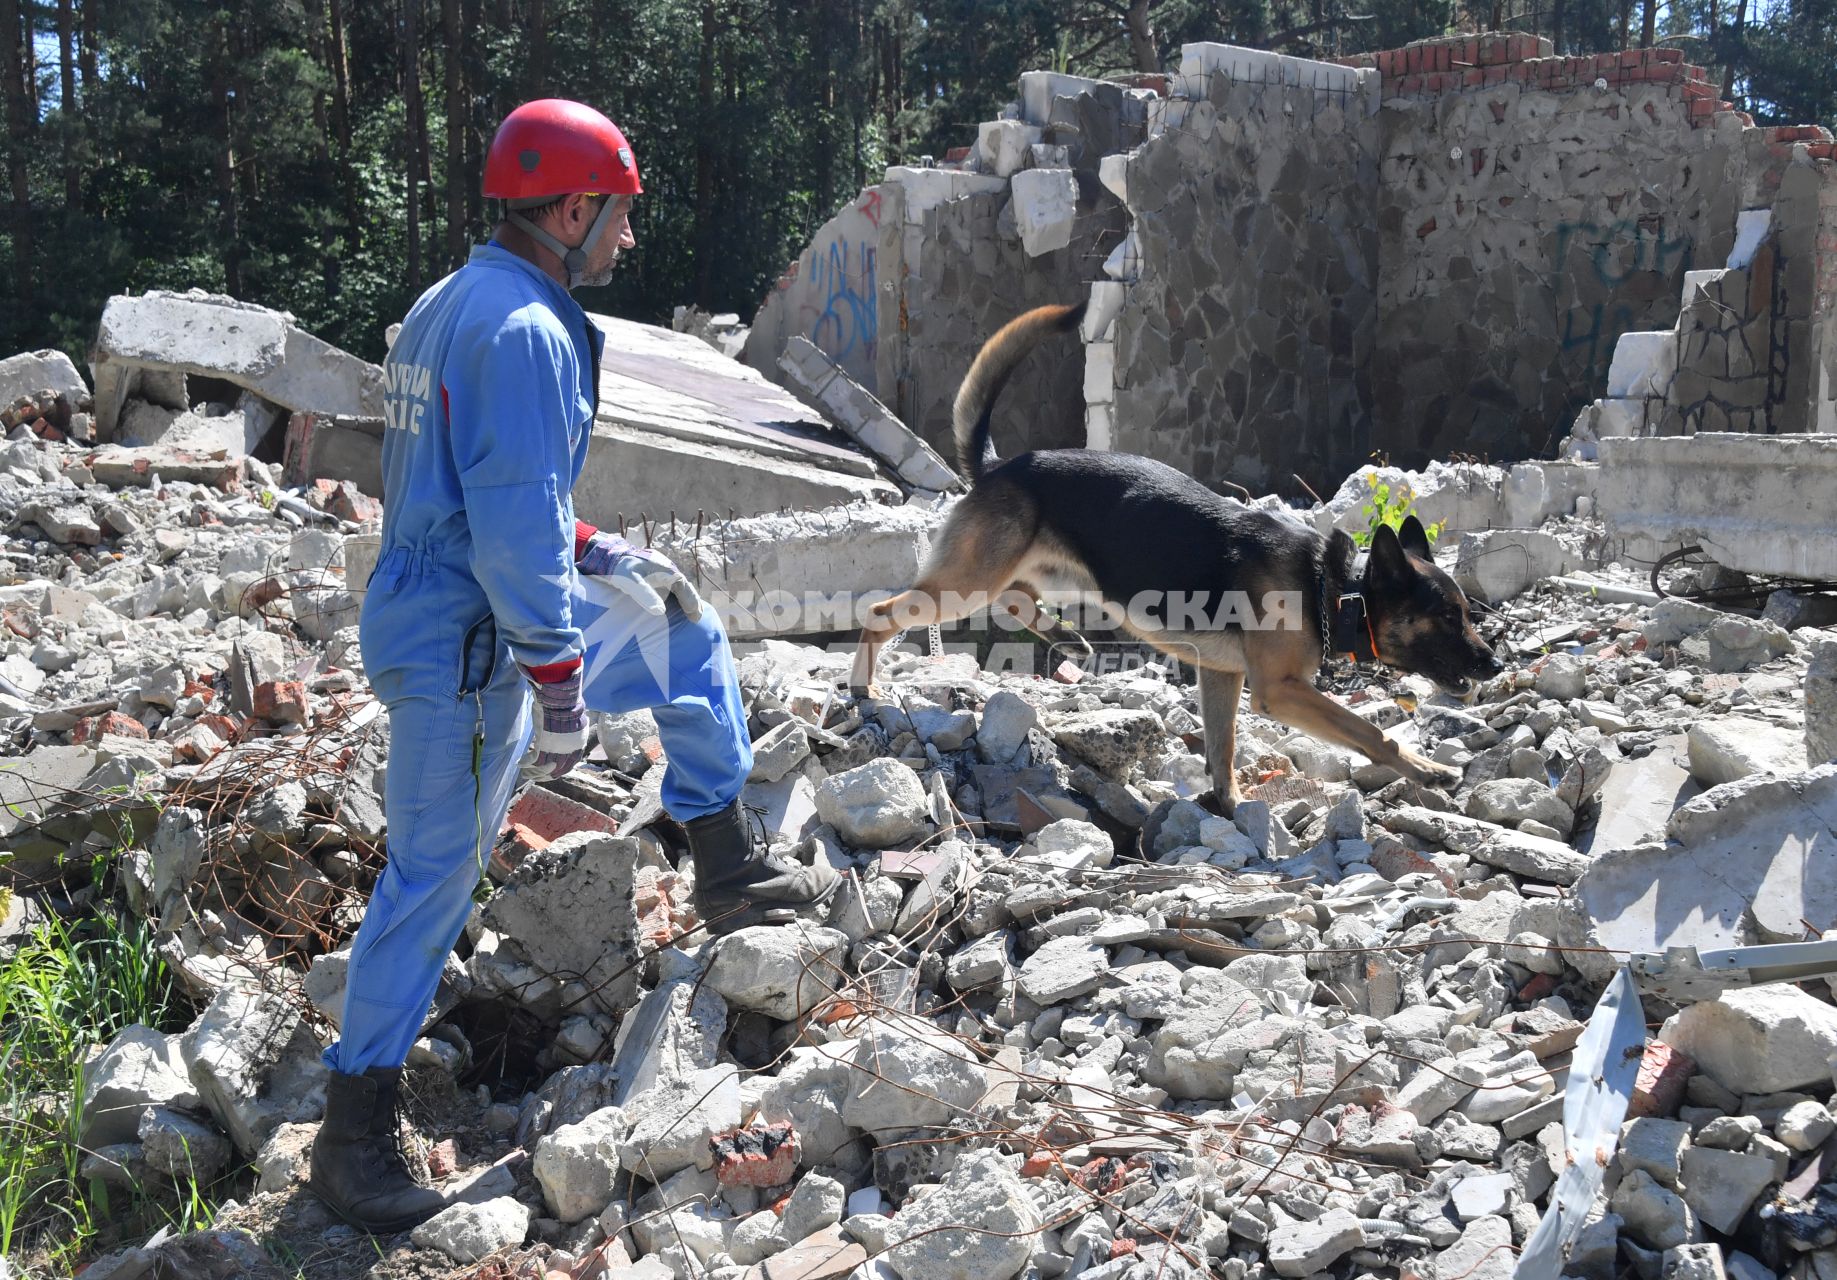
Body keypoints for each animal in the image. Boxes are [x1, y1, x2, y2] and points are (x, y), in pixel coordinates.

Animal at [852, 301, 1498, 808]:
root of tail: (997, 467)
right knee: (883, 613)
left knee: (1017, 598)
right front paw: (1428, 769)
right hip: (970, 580)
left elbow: (1222, 746)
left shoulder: (1222, 676)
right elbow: (1371, 733)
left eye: (1468, 614)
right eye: (1446, 616)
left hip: (1042, 574)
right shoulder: (1280, 689)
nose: (1493, 665)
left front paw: (1228, 804)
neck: (1334, 584)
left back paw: (1065, 636)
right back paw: (863, 686)